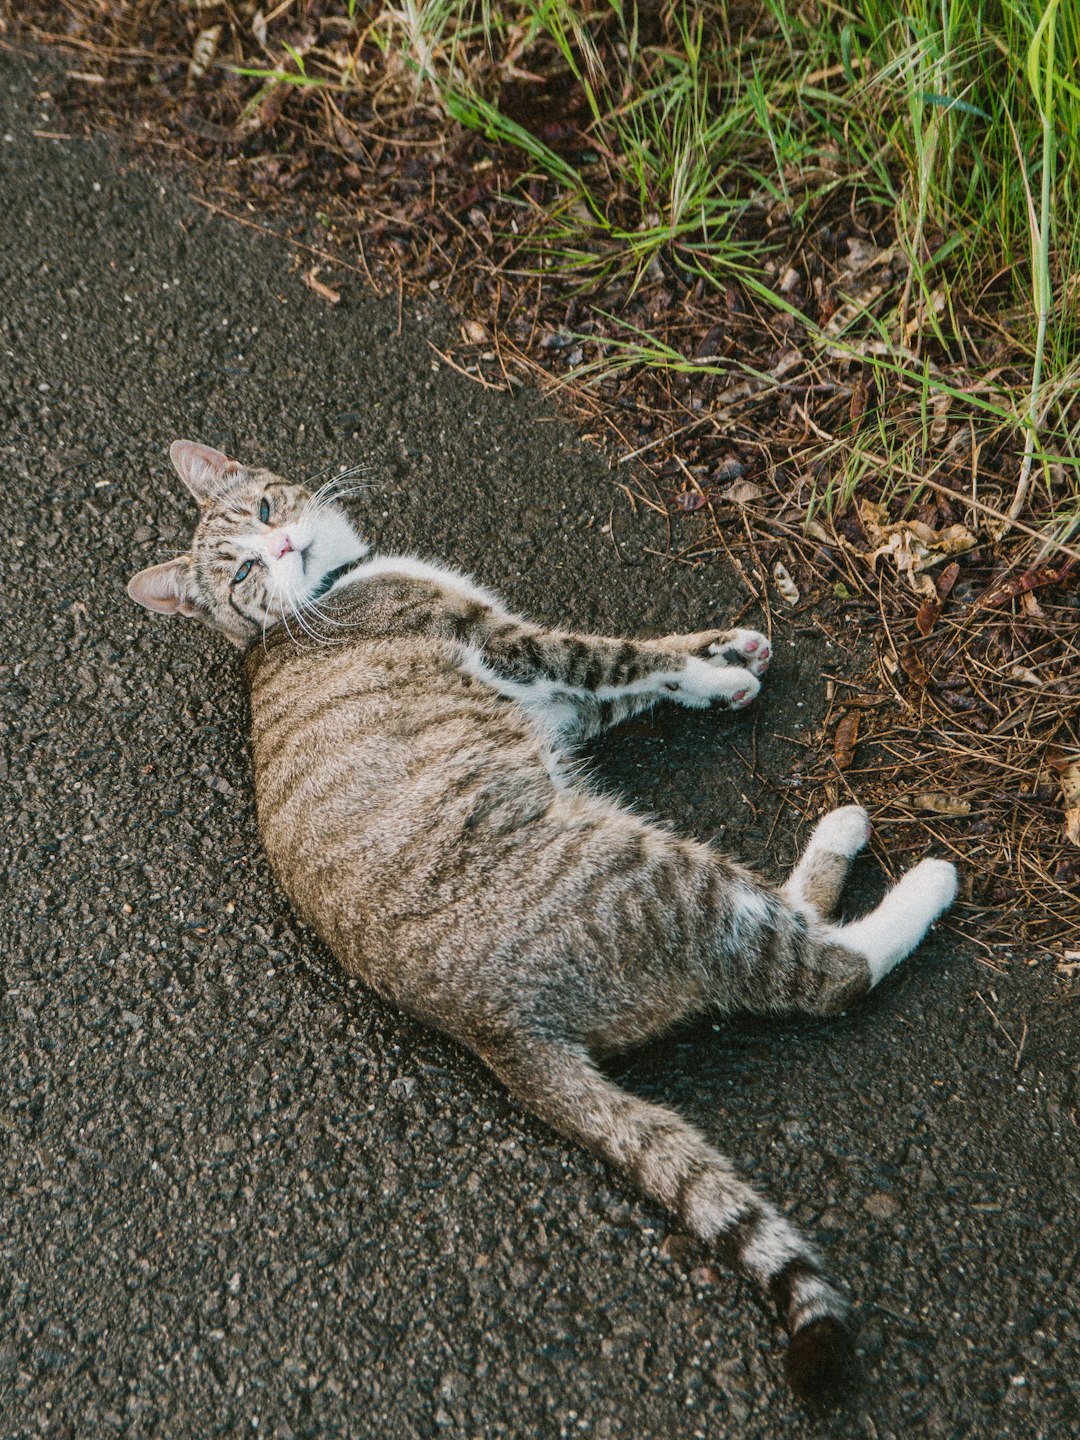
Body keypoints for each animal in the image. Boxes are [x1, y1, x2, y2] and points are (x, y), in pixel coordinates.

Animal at [128, 440, 961, 1405]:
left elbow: (639, 672)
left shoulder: (559, 701)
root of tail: (497, 1031)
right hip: (660, 872)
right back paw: (908, 873)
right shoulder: (511, 647)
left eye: (265, 509)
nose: (284, 542)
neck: (328, 589)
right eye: (242, 574)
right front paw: (717, 672)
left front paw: (726, 653)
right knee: (822, 972)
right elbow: (615, 654)